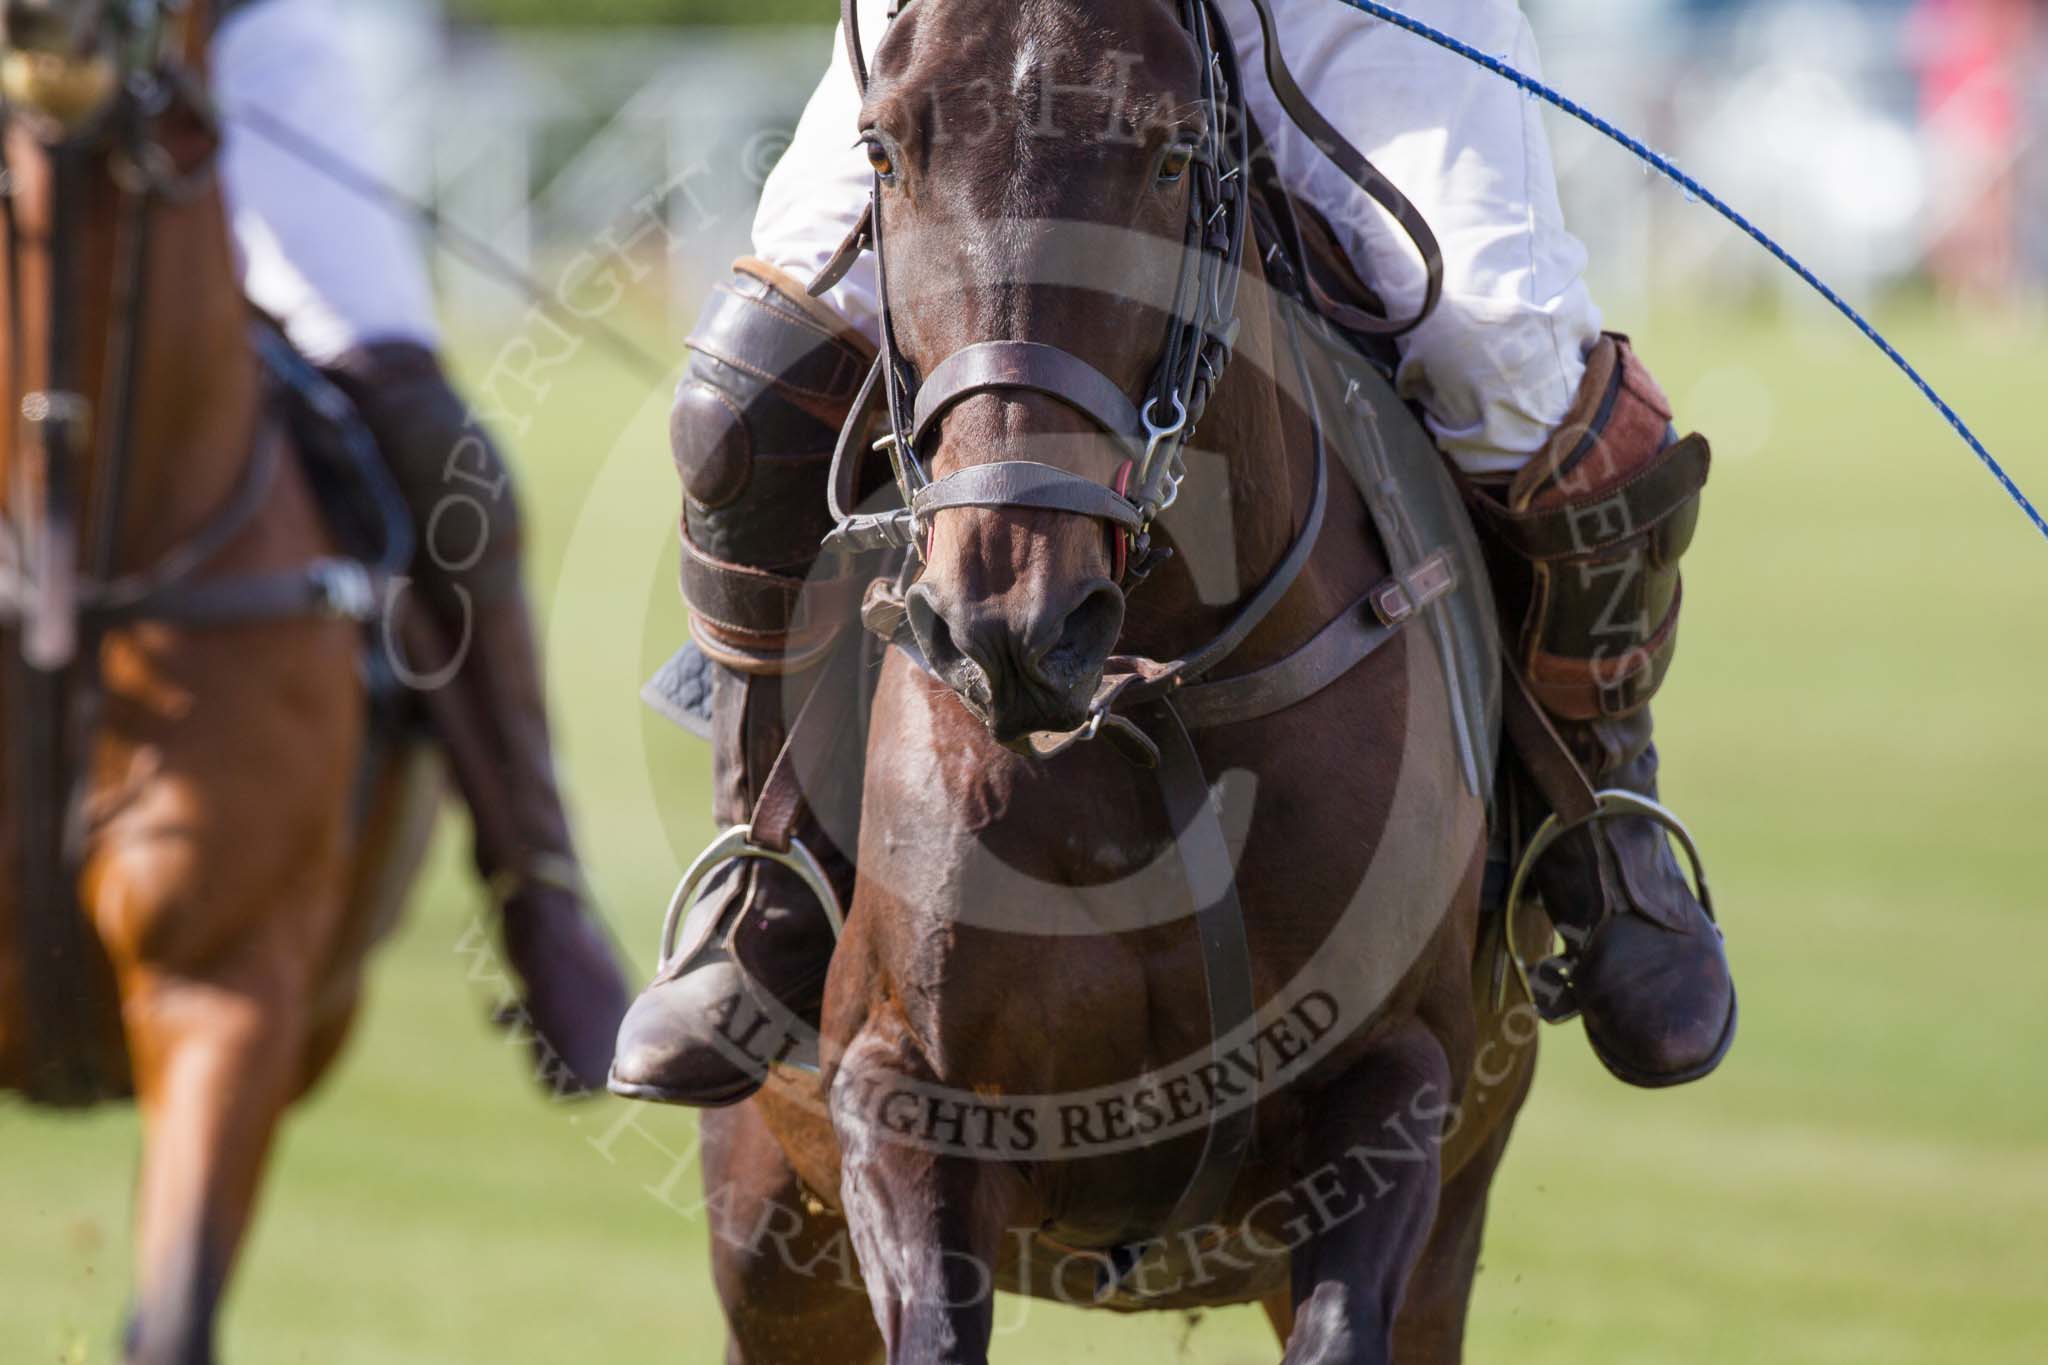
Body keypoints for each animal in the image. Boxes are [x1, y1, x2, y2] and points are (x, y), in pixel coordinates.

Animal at [679, 0, 1540, 1358]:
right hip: (771, 1237)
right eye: (883, 153)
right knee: (736, 408)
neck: (1144, 708)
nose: (1008, 622)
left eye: (1173, 158)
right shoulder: (897, 1087)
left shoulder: (1397, 1079)